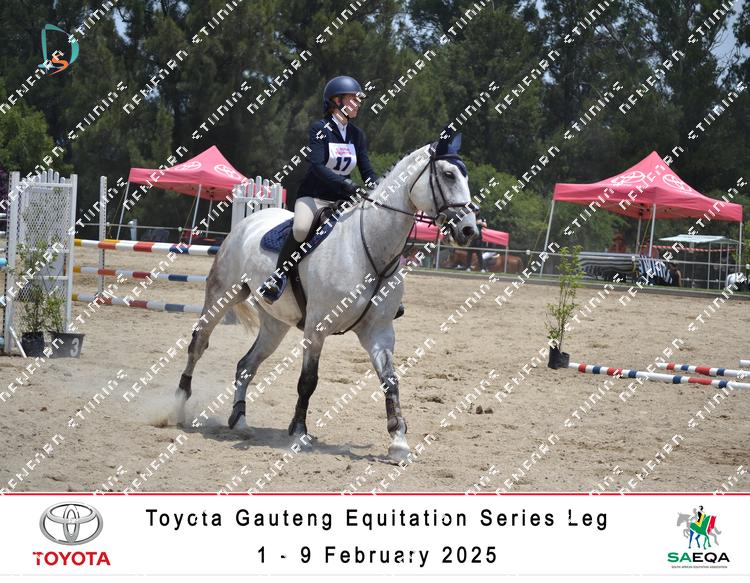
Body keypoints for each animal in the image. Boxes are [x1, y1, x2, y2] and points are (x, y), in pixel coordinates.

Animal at [175, 130, 478, 461]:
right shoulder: (317, 328)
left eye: (465, 175)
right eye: (448, 175)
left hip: (275, 324)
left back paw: (240, 421)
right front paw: (298, 433)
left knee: (246, 364)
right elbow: (308, 381)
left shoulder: (379, 332)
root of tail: (252, 219)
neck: (370, 248)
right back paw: (178, 406)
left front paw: (398, 442)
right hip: (221, 296)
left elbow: (390, 381)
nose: (469, 230)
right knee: (199, 343)